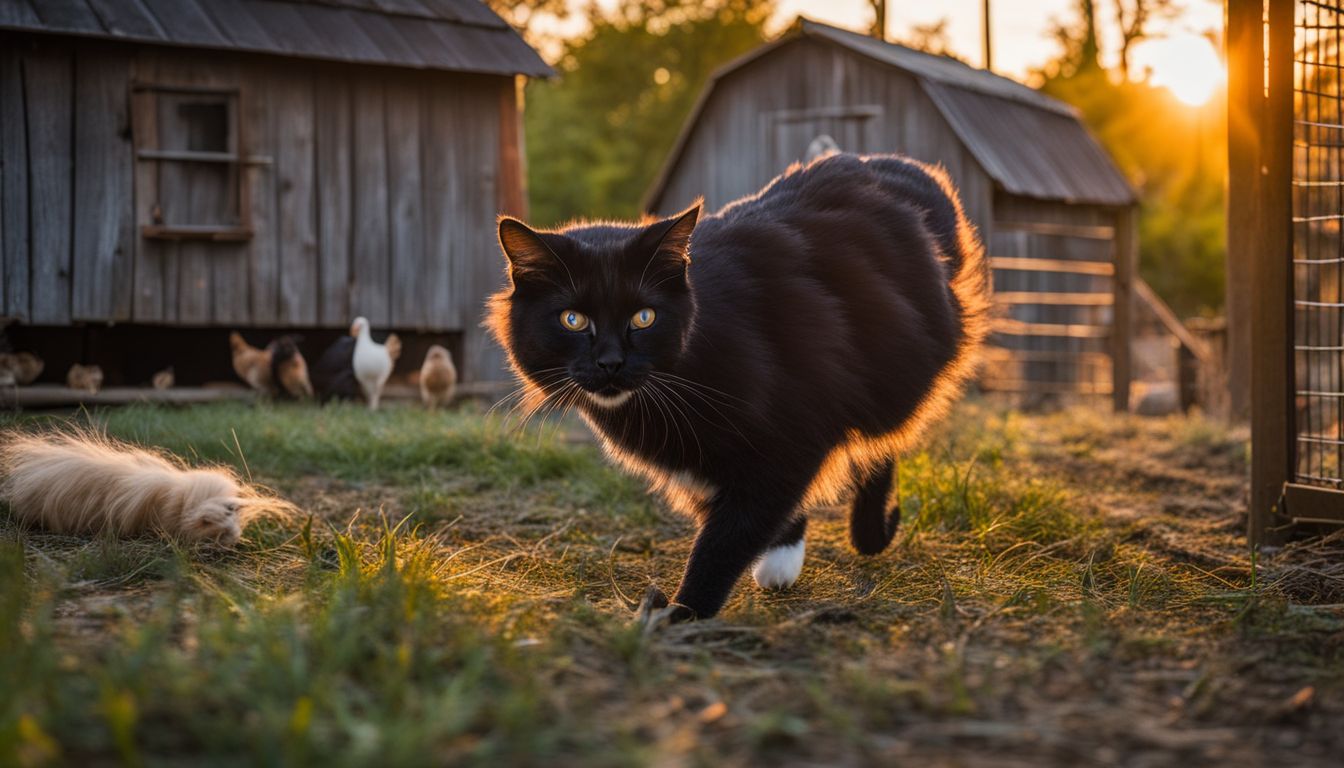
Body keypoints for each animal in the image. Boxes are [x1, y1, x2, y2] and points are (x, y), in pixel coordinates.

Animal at [486, 154, 989, 618]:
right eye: (573, 320)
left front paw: (681, 615)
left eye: (644, 317)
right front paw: (778, 558)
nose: (611, 363)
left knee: (880, 444)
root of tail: (896, 163)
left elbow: (729, 536)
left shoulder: (794, 435)